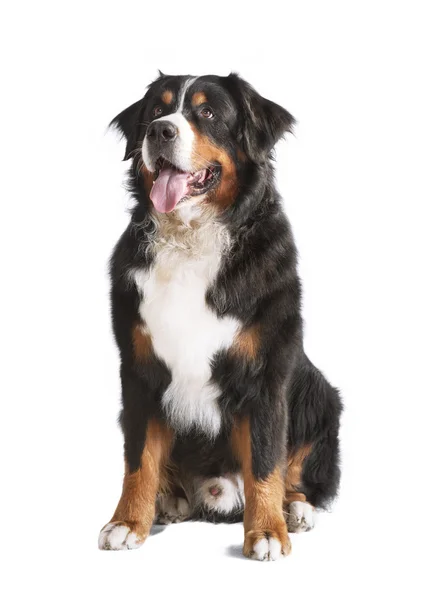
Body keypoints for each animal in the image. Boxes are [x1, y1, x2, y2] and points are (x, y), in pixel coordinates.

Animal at [98, 72, 342, 560]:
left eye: (208, 112)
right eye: (158, 110)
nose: (160, 132)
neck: (193, 239)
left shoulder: (267, 373)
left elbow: (266, 460)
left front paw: (266, 532)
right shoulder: (138, 369)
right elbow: (139, 458)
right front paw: (128, 522)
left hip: (320, 394)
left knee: (294, 475)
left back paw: (294, 510)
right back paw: (168, 500)